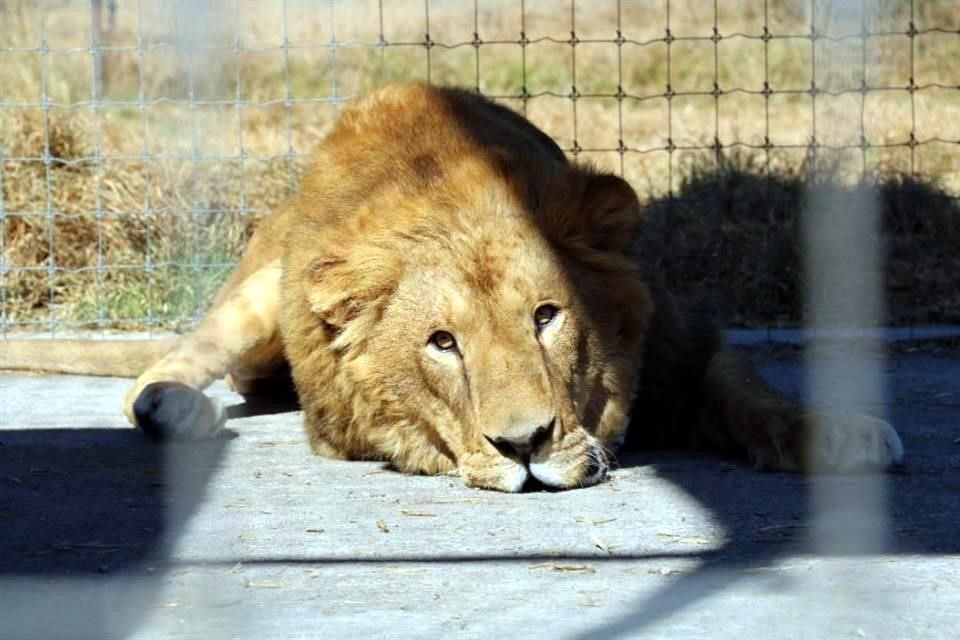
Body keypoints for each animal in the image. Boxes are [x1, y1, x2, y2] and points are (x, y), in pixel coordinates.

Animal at [0, 84, 900, 490]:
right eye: (443, 343)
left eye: (547, 317)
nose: (525, 446)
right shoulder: (348, 421)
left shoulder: (688, 342)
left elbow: (754, 393)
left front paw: (844, 435)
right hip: (255, 301)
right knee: (164, 369)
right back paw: (174, 410)